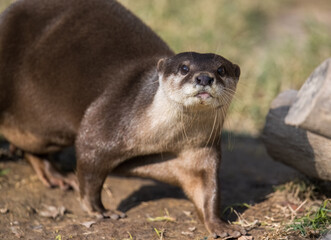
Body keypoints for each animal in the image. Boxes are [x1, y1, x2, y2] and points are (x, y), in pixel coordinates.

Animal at [0, 0, 244, 238]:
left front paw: (219, 225)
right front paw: (100, 211)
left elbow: (207, 190)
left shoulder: (201, 150)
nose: (204, 78)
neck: (164, 139)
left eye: (221, 69)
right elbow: (90, 170)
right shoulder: (107, 122)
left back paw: (55, 176)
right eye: (184, 68)